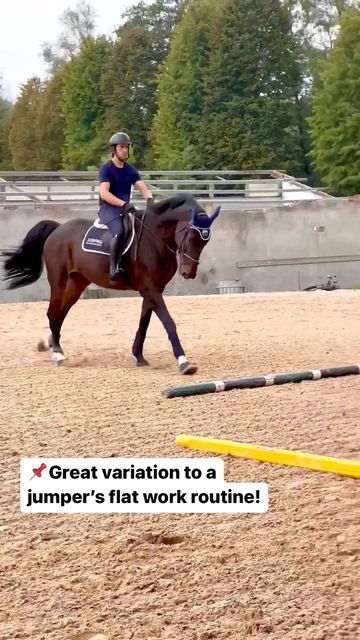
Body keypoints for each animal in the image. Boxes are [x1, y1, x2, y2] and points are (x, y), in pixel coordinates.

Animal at [2, 195, 221, 376]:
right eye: (191, 237)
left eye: (206, 241)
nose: (188, 273)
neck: (155, 239)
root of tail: (57, 229)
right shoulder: (150, 289)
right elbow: (168, 322)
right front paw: (184, 362)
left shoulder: (153, 290)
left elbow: (144, 323)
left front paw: (138, 356)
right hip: (58, 280)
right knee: (53, 312)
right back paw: (57, 353)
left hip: (77, 283)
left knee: (60, 313)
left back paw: (50, 344)